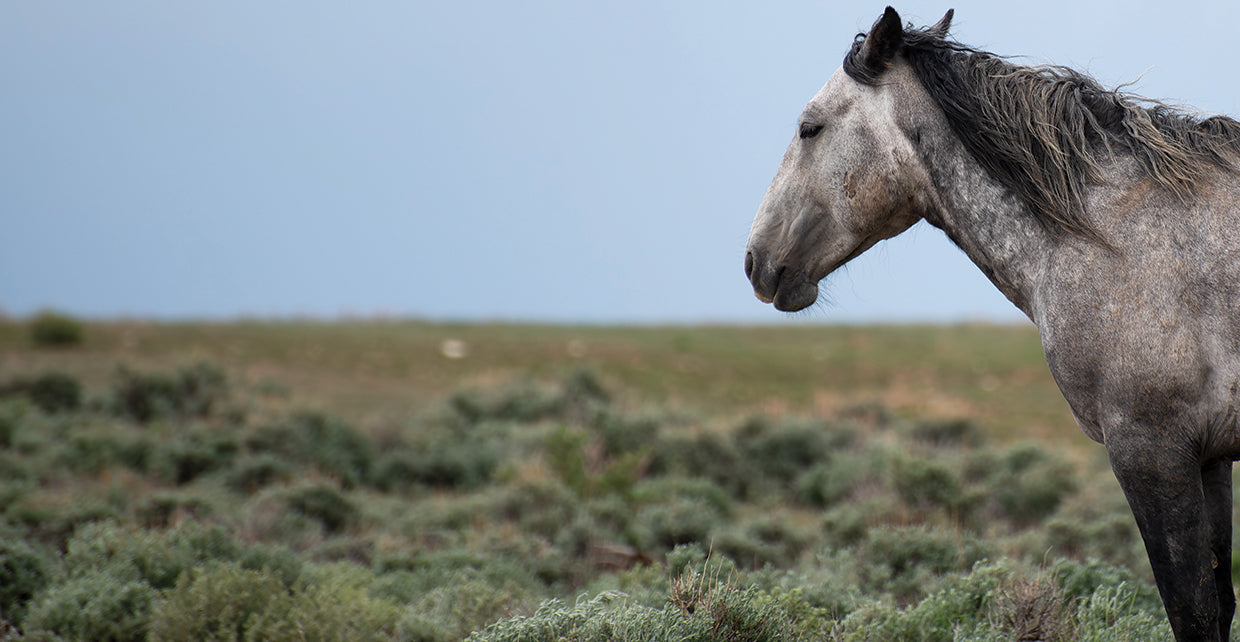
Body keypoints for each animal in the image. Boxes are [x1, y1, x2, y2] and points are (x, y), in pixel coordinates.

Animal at [743, 7, 1240, 640]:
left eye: (810, 128)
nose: (756, 260)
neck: (1117, 239)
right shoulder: (1209, 457)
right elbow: (1217, 601)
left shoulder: (1152, 452)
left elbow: (1192, 609)